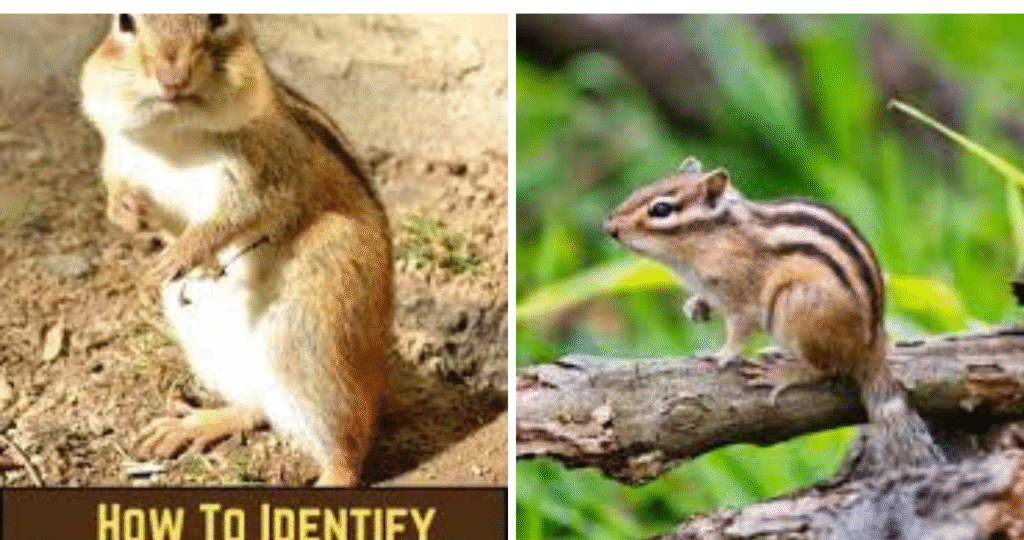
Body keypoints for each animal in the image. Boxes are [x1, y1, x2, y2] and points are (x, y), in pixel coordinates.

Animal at [80, 14, 393, 486]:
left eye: (219, 18)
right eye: (124, 20)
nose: (173, 78)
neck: (175, 131)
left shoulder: (266, 173)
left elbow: (236, 217)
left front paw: (177, 255)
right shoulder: (118, 155)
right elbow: (116, 189)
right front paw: (128, 214)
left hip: (315, 326)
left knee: (348, 450)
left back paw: (331, 473)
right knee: (258, 408)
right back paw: (192, 425)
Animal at [604, 156, 945, 469]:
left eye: (661, 210)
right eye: (638, 191)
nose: (610, 228)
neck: (713, 238)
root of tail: (871, 348)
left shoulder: (743, 296)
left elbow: (739, 329)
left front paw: (723, 355)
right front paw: (695, 307)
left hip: (794, 307)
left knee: (825, 368)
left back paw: (781, 373)